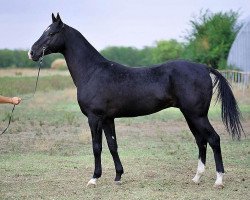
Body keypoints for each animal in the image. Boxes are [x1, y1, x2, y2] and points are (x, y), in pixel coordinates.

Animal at [28, 13, 242, 188]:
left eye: (51, 33)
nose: (32, 52)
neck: (92, 72)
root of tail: (204, 68)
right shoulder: (108, 119)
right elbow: (112, 145)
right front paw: (118, 176)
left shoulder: (94, 118)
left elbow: (97, 147)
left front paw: (94, 178)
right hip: (190, 115)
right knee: (201, 141)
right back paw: (196, 178)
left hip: (197, 115)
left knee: (213, 139)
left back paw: (219, 180)